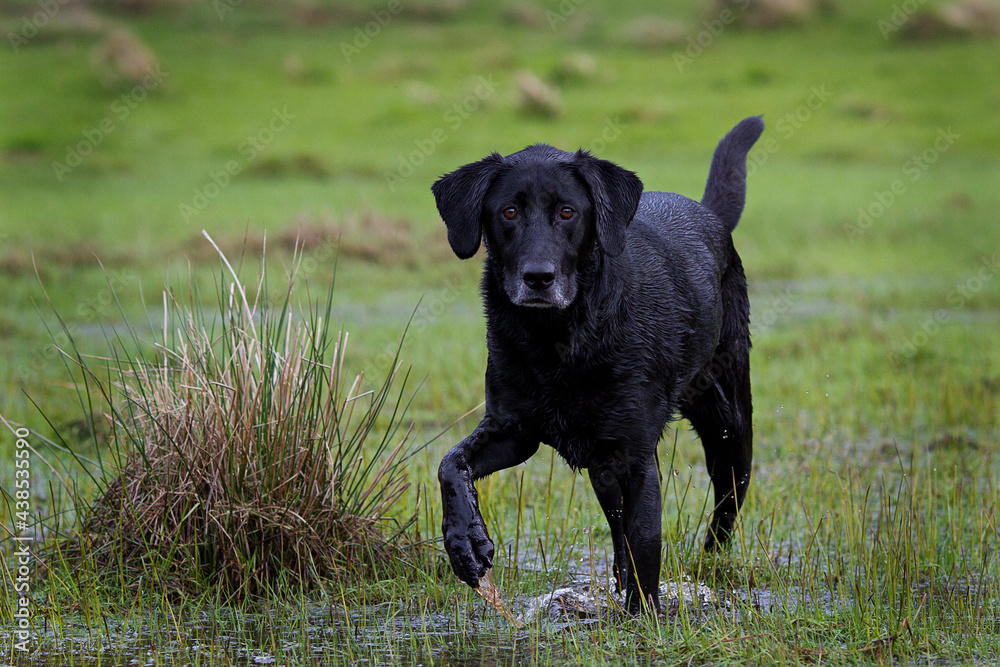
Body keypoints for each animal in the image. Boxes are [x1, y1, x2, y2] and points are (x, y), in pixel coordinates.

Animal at [432, 117, 764, 612]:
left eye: (568, 212)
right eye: (508, 212)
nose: (538, 277)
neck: (557, 338)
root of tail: (709, 214)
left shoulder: (635, 457)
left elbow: (644, 542)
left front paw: (644, 616)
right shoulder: (514, 430)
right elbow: (451, 464)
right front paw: (465, 542)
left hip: (728, 426)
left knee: (727, 500)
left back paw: (710, 560)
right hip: (602, 468)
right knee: (618, 525)